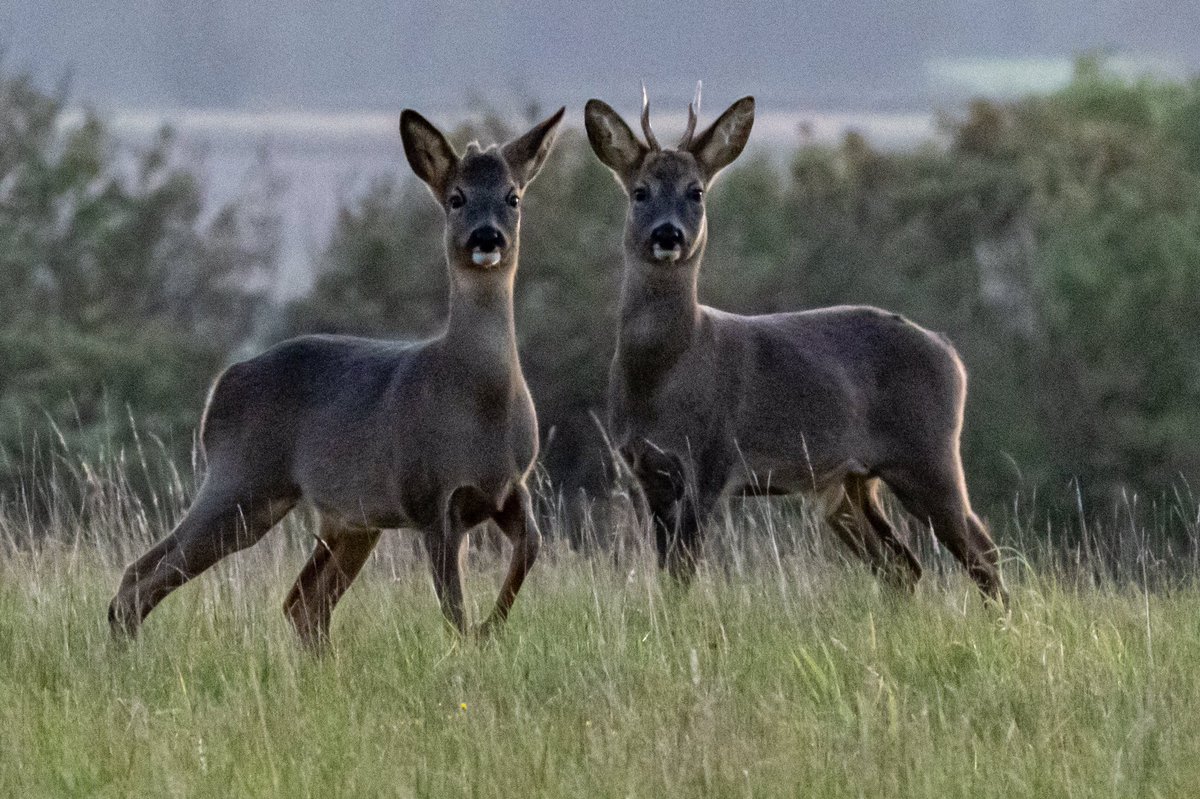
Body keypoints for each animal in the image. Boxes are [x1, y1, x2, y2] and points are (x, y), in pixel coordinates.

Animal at [108, 106, 566, 647]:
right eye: (456, 198)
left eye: (513, 196)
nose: (487, 237)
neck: (480, 405)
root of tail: (221, 386)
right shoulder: (429, 497)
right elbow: (454, 610)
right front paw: (476, 638)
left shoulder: (510, 487)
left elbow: (531, 550)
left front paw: (492, 627)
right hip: (243, 481)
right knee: (144, 576)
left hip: (347, 522)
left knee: (300, 604)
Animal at [583, 88, 1007, 604]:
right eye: (639, 191)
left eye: (696, 191)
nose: (668, 234)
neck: (664, 374)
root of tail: (952, 355)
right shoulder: (647, 471)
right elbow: (666, 573)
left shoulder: (712, 458)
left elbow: (684, 572)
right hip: (848, 483)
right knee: (903, 565)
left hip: (928, 454)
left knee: (981, 552)